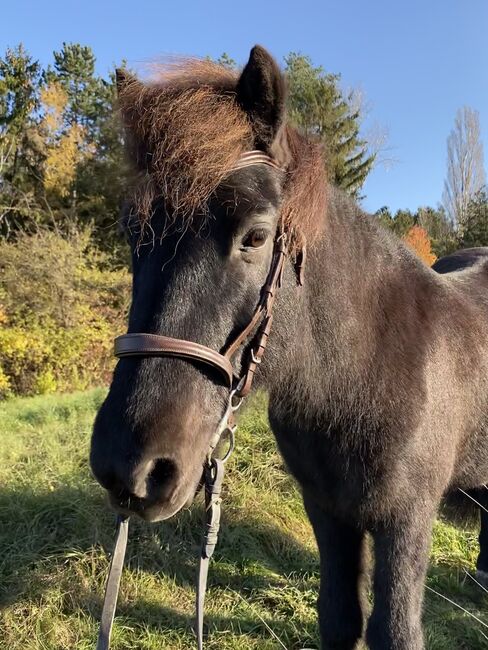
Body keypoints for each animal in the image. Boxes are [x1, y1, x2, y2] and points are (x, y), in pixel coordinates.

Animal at [90, 46, 488, 648]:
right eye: (134, 235)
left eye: (255, 235)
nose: (130, 466)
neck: (361, 376)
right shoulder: (326, 508)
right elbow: (339, 617)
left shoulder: (407, 519)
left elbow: (394, 630)